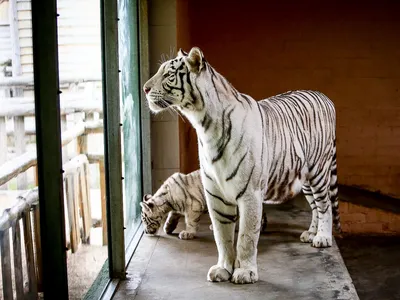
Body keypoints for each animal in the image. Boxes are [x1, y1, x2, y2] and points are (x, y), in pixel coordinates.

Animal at [142, 47, 342, 284]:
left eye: (168, 74)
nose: (144, 89)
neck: (204, 126)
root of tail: (325, 97)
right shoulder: (215, 194)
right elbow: (222, 236)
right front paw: (222, 269)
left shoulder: (250, 193)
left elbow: (246, 236)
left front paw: (245, 272)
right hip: (305, 179)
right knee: (314, 207)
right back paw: (311, 233)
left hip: (319, 171)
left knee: (324, 204)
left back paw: (322, 237)